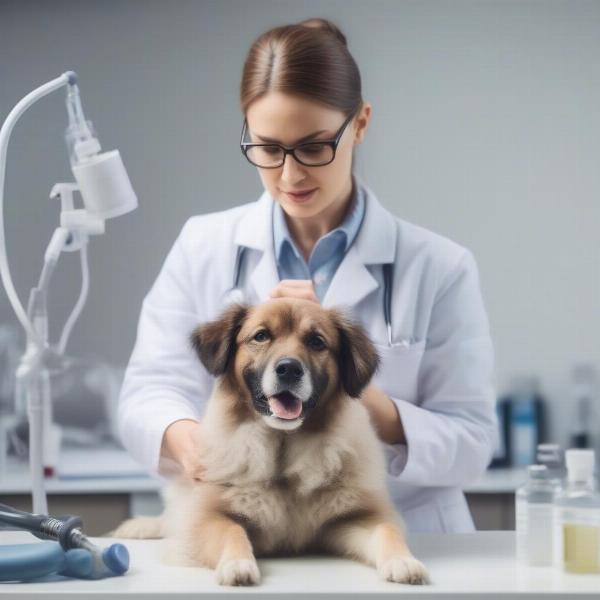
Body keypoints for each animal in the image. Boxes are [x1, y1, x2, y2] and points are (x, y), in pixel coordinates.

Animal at [112, 300, 428, 584]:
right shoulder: (208, 518)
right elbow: (232, 532)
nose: (289, 369)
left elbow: (387, 531)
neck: (284, 450)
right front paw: (237, 564)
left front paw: (403, 561)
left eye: (316, 341)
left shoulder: (354, 519)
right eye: (261, 336)